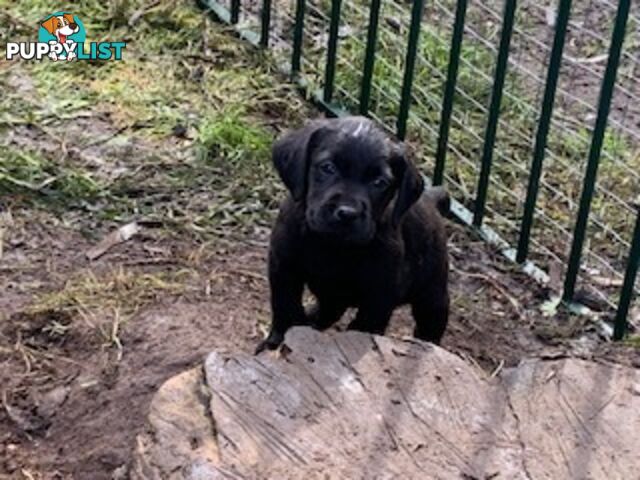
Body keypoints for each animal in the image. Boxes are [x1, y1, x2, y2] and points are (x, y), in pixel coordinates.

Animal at [256, 116, 450, 354]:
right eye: (327, 168)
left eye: (379, 182)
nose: (347, 213)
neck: (333, 245)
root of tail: (431, 197)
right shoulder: (283, 266)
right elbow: (285, 306)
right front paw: (275, 342)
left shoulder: (379, 293)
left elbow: (364, 327)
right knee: (328, 311)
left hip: (432, 294)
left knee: (431, 325)